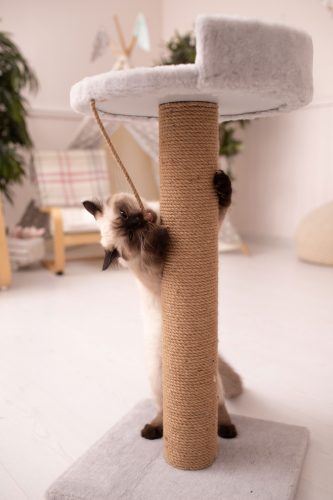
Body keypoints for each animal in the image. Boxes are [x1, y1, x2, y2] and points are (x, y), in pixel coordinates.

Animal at [83, 171, 241, 442]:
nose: (138, 221)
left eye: (124, 214)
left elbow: (223, 203)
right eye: (132, 236)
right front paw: (158, 237)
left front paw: (222, 182)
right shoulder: (153, 272)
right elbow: (152, 253)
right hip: (160, 384)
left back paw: (224, 430)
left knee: (218, 404)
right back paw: (154, 431)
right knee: (169, 411)